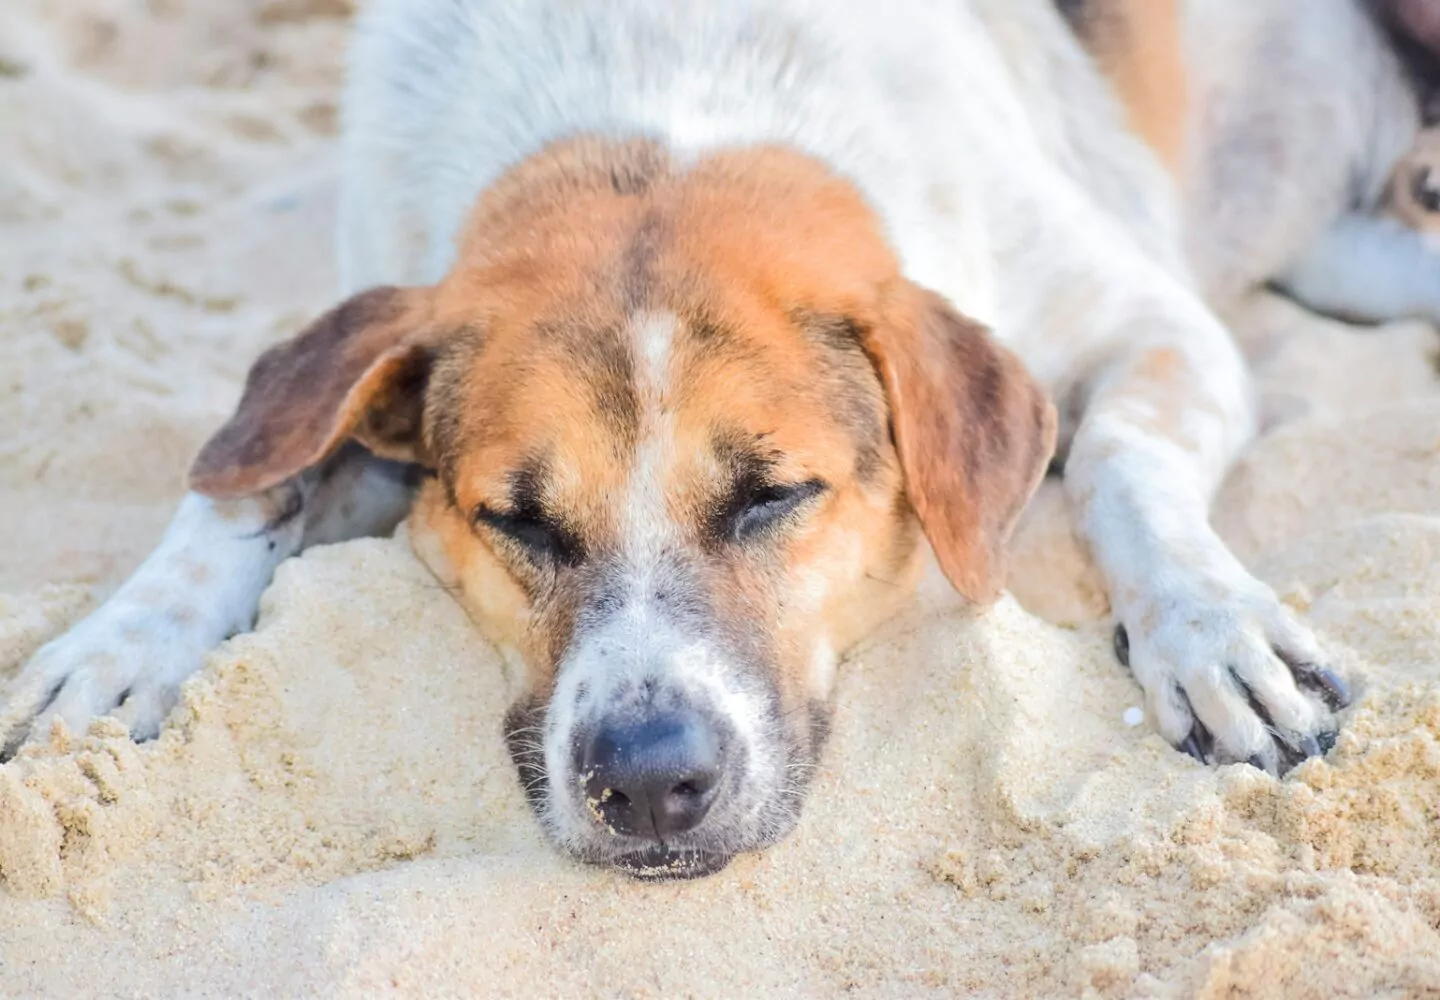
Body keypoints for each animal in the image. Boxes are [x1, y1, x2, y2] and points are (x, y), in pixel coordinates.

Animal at [5, 0, 1434, 876]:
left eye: (772, 494)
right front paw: (118, 649)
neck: (662, 93)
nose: (646, 785)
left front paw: (1215, 630)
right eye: (516, 518)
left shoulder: (1154, 324)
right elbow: (251, 479)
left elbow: (1125, 462)